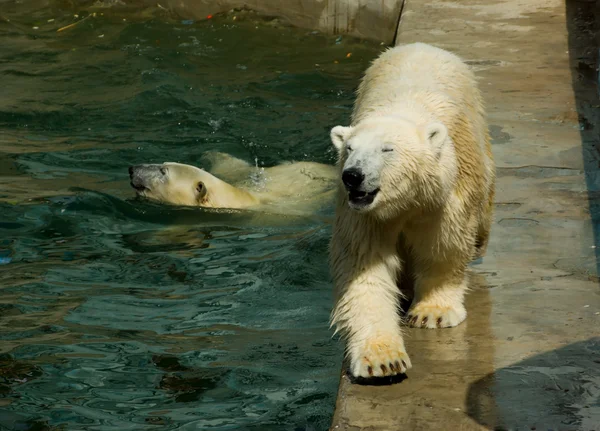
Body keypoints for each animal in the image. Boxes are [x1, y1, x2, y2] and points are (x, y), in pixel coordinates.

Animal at [330, 43, 494, 378]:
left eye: (387, 149)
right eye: (350, 149)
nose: (352, 175)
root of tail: (422, 46)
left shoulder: (443, 198)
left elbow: (443, 246)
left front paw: (433, 313)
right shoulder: (363, 215)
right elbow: (365, 268)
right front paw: (383, 359)